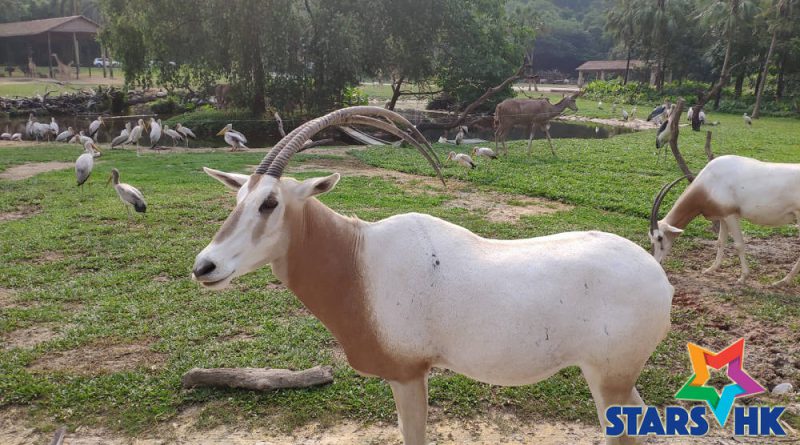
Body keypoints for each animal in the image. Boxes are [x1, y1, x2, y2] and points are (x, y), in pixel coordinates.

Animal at [192, 106, 673, 445]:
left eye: (270, 203)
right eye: (238, 198)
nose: (204, 267)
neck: (358, 258)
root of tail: (660, 278)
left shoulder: (408, 373)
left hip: (607, 377)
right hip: (616, 378)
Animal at [650, 155, 800, 286]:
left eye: (660, 238)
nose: (657, 262)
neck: (709, 183)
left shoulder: (731, 215)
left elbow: (739, 244)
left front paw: (742, 277)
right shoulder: (722, 216)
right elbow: (720, 241)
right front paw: (711, 269)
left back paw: (783, 281)